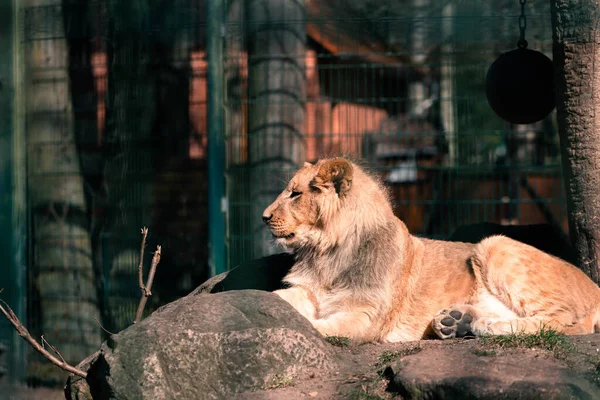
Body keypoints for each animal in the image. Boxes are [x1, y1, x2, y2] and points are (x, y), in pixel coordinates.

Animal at [262, 158, 600, 342]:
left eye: (295, 194)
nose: (264, 217)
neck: (326, 254)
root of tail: (595, 287)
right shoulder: (309, 292)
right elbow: (280, 298)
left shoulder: (366, 315)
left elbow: (322, 326)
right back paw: (458, 321)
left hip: (494, 244)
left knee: (568, 321)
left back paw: (488, 325)